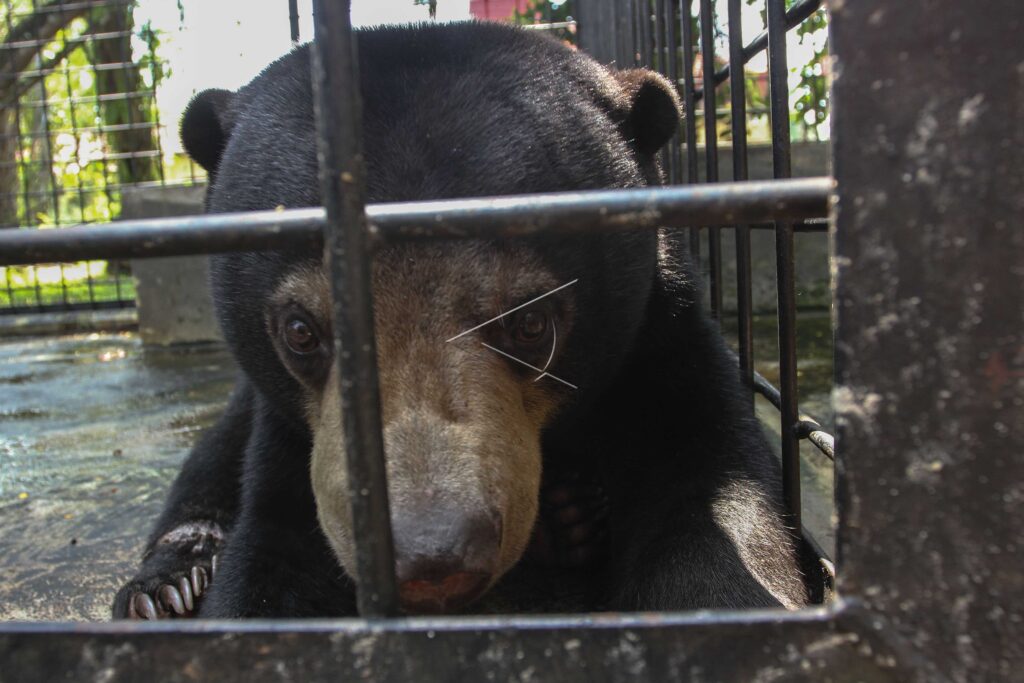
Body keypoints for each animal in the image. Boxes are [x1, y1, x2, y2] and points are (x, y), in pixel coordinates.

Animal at [112, 21, 807, 619]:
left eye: (531, 324)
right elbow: (271, 557)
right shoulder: (293, 436)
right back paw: (167, 583)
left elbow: (712, 492)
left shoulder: (660, 345)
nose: (430, 559)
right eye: (300, 331)